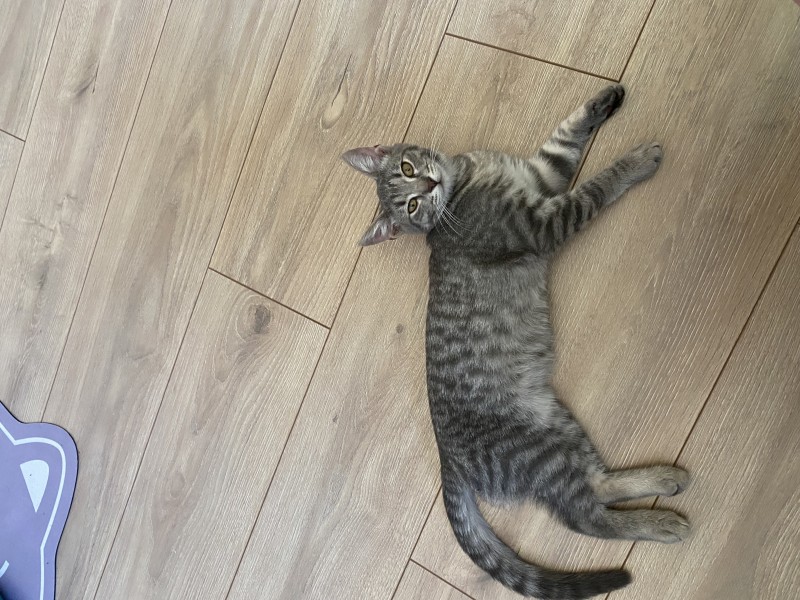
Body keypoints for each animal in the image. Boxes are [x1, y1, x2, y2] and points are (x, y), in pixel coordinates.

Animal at [342, 85, 691, 599]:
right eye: (409, 207)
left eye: (406, 170)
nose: (426, 186)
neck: (464, 178)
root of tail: (447, 458)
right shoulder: (545, 221)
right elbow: (597, 187)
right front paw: (635, 161)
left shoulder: (542, 172)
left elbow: (566, 133)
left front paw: (604, 101)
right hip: (540, 452)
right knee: (586, 518)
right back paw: (663, 523)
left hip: (559, 424)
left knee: (598, 485)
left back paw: (663, 478)